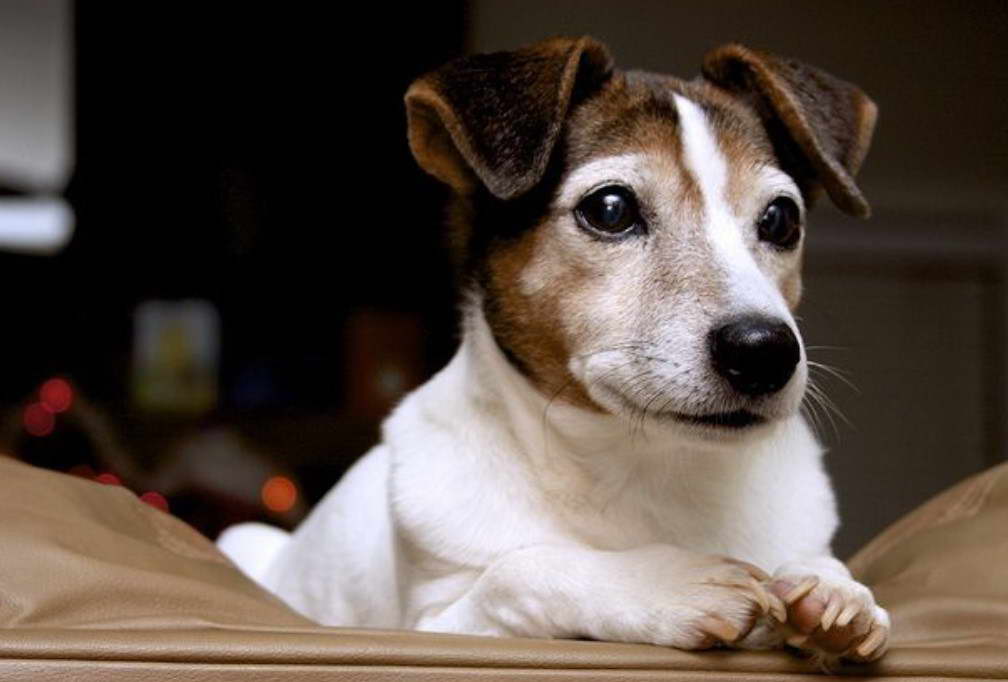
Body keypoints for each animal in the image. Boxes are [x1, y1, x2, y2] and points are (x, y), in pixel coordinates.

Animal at [220, 36, 891, 660]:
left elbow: (822, 570)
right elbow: (522, 569)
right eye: (611, 209)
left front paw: (831, 591)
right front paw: (668, 583)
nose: (764, 352)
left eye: (781, 219)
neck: (647, 468)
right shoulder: (431, 625)